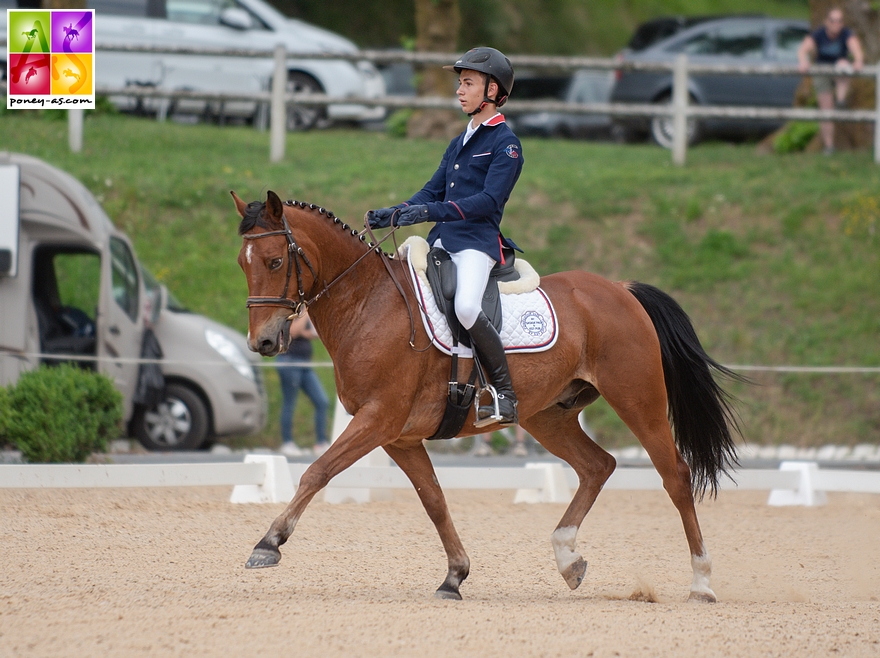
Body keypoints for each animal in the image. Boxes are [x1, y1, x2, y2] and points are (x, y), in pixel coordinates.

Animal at [235, 188, 744, 600]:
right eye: (243, 264)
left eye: (275, 261)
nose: (263, 342)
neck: (368, 303)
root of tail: (620, 289)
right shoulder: (399, 436)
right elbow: (434, 500)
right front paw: (455, 576)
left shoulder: (379, 418)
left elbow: (317, 472)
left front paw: (268, 543)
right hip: (547, 416)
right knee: (597, 466)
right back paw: (568, 559)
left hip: (639, 401)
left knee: (675, 476)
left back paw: (701, 582)